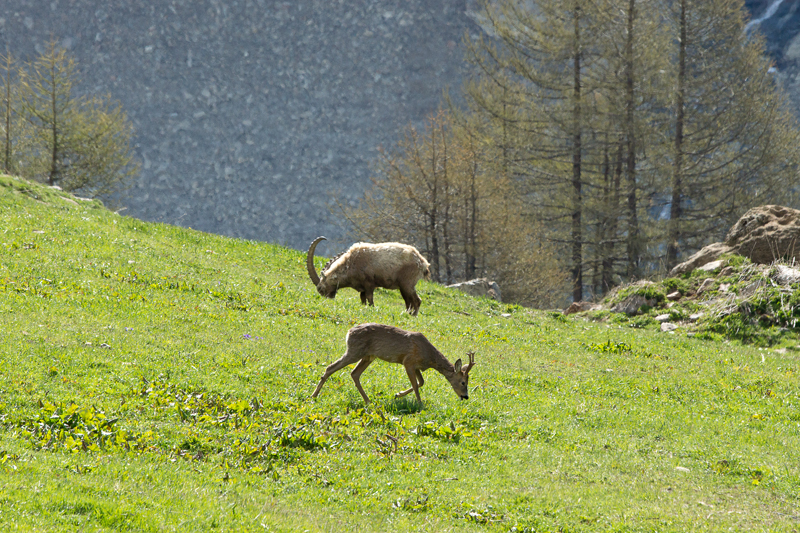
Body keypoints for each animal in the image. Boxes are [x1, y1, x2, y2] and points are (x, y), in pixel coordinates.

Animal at [310, 320, 476, 404]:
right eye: (463, 382)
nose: (465, 396)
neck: (429, 356)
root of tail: (349, 332)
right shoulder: (408, 362)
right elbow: (416, 384)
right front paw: (419, 404)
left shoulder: (416, 366)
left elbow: (421, 382)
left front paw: (397, 394)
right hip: (354, 351)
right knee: (331, 367)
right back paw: (314, 395)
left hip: (368, 356)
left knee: (354, 374)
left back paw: (368, 401)